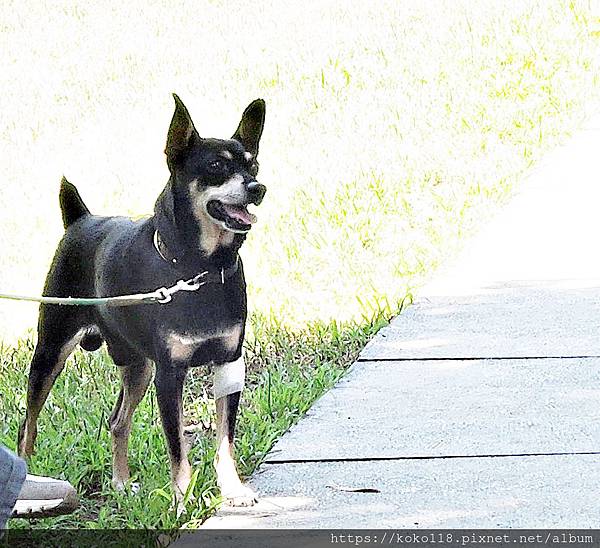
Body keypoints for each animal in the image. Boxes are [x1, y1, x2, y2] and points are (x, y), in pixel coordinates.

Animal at [17, 93, 266, 506]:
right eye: (215, 166)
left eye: (253, 164)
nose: (257, 188)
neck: (201, 269)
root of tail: (79, 219)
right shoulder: (170, 374)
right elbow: (177, 445)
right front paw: (181, 498)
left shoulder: (229, 363)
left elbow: (224, 440)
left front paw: (232, 488)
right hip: (51, 351)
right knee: (28, 426)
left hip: (137, 367)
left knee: (117, 421)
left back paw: (120, 483)